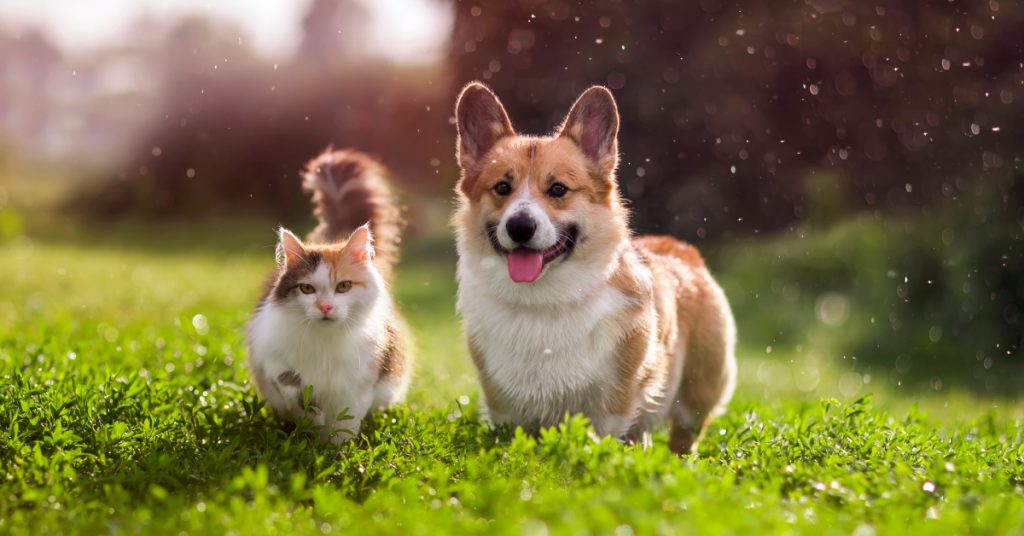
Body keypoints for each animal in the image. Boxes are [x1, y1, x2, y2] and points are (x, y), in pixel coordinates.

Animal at [245, 147, 409, 444]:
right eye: (307, 289)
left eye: (343, 287)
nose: (325, 307)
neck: (325, 342)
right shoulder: (271, 356)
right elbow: (295, 389)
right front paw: (313, 426)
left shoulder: (359, 382)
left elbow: (345, 423)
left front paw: (336, 450)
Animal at [452, 81, 733, 455]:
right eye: (502, 187)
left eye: (558, 189)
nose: (520, 227)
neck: (543, 302)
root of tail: (681, 248)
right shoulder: (503, 405)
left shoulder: (614, 401)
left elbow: (604, 437)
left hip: (696, 395)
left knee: (683, 437)